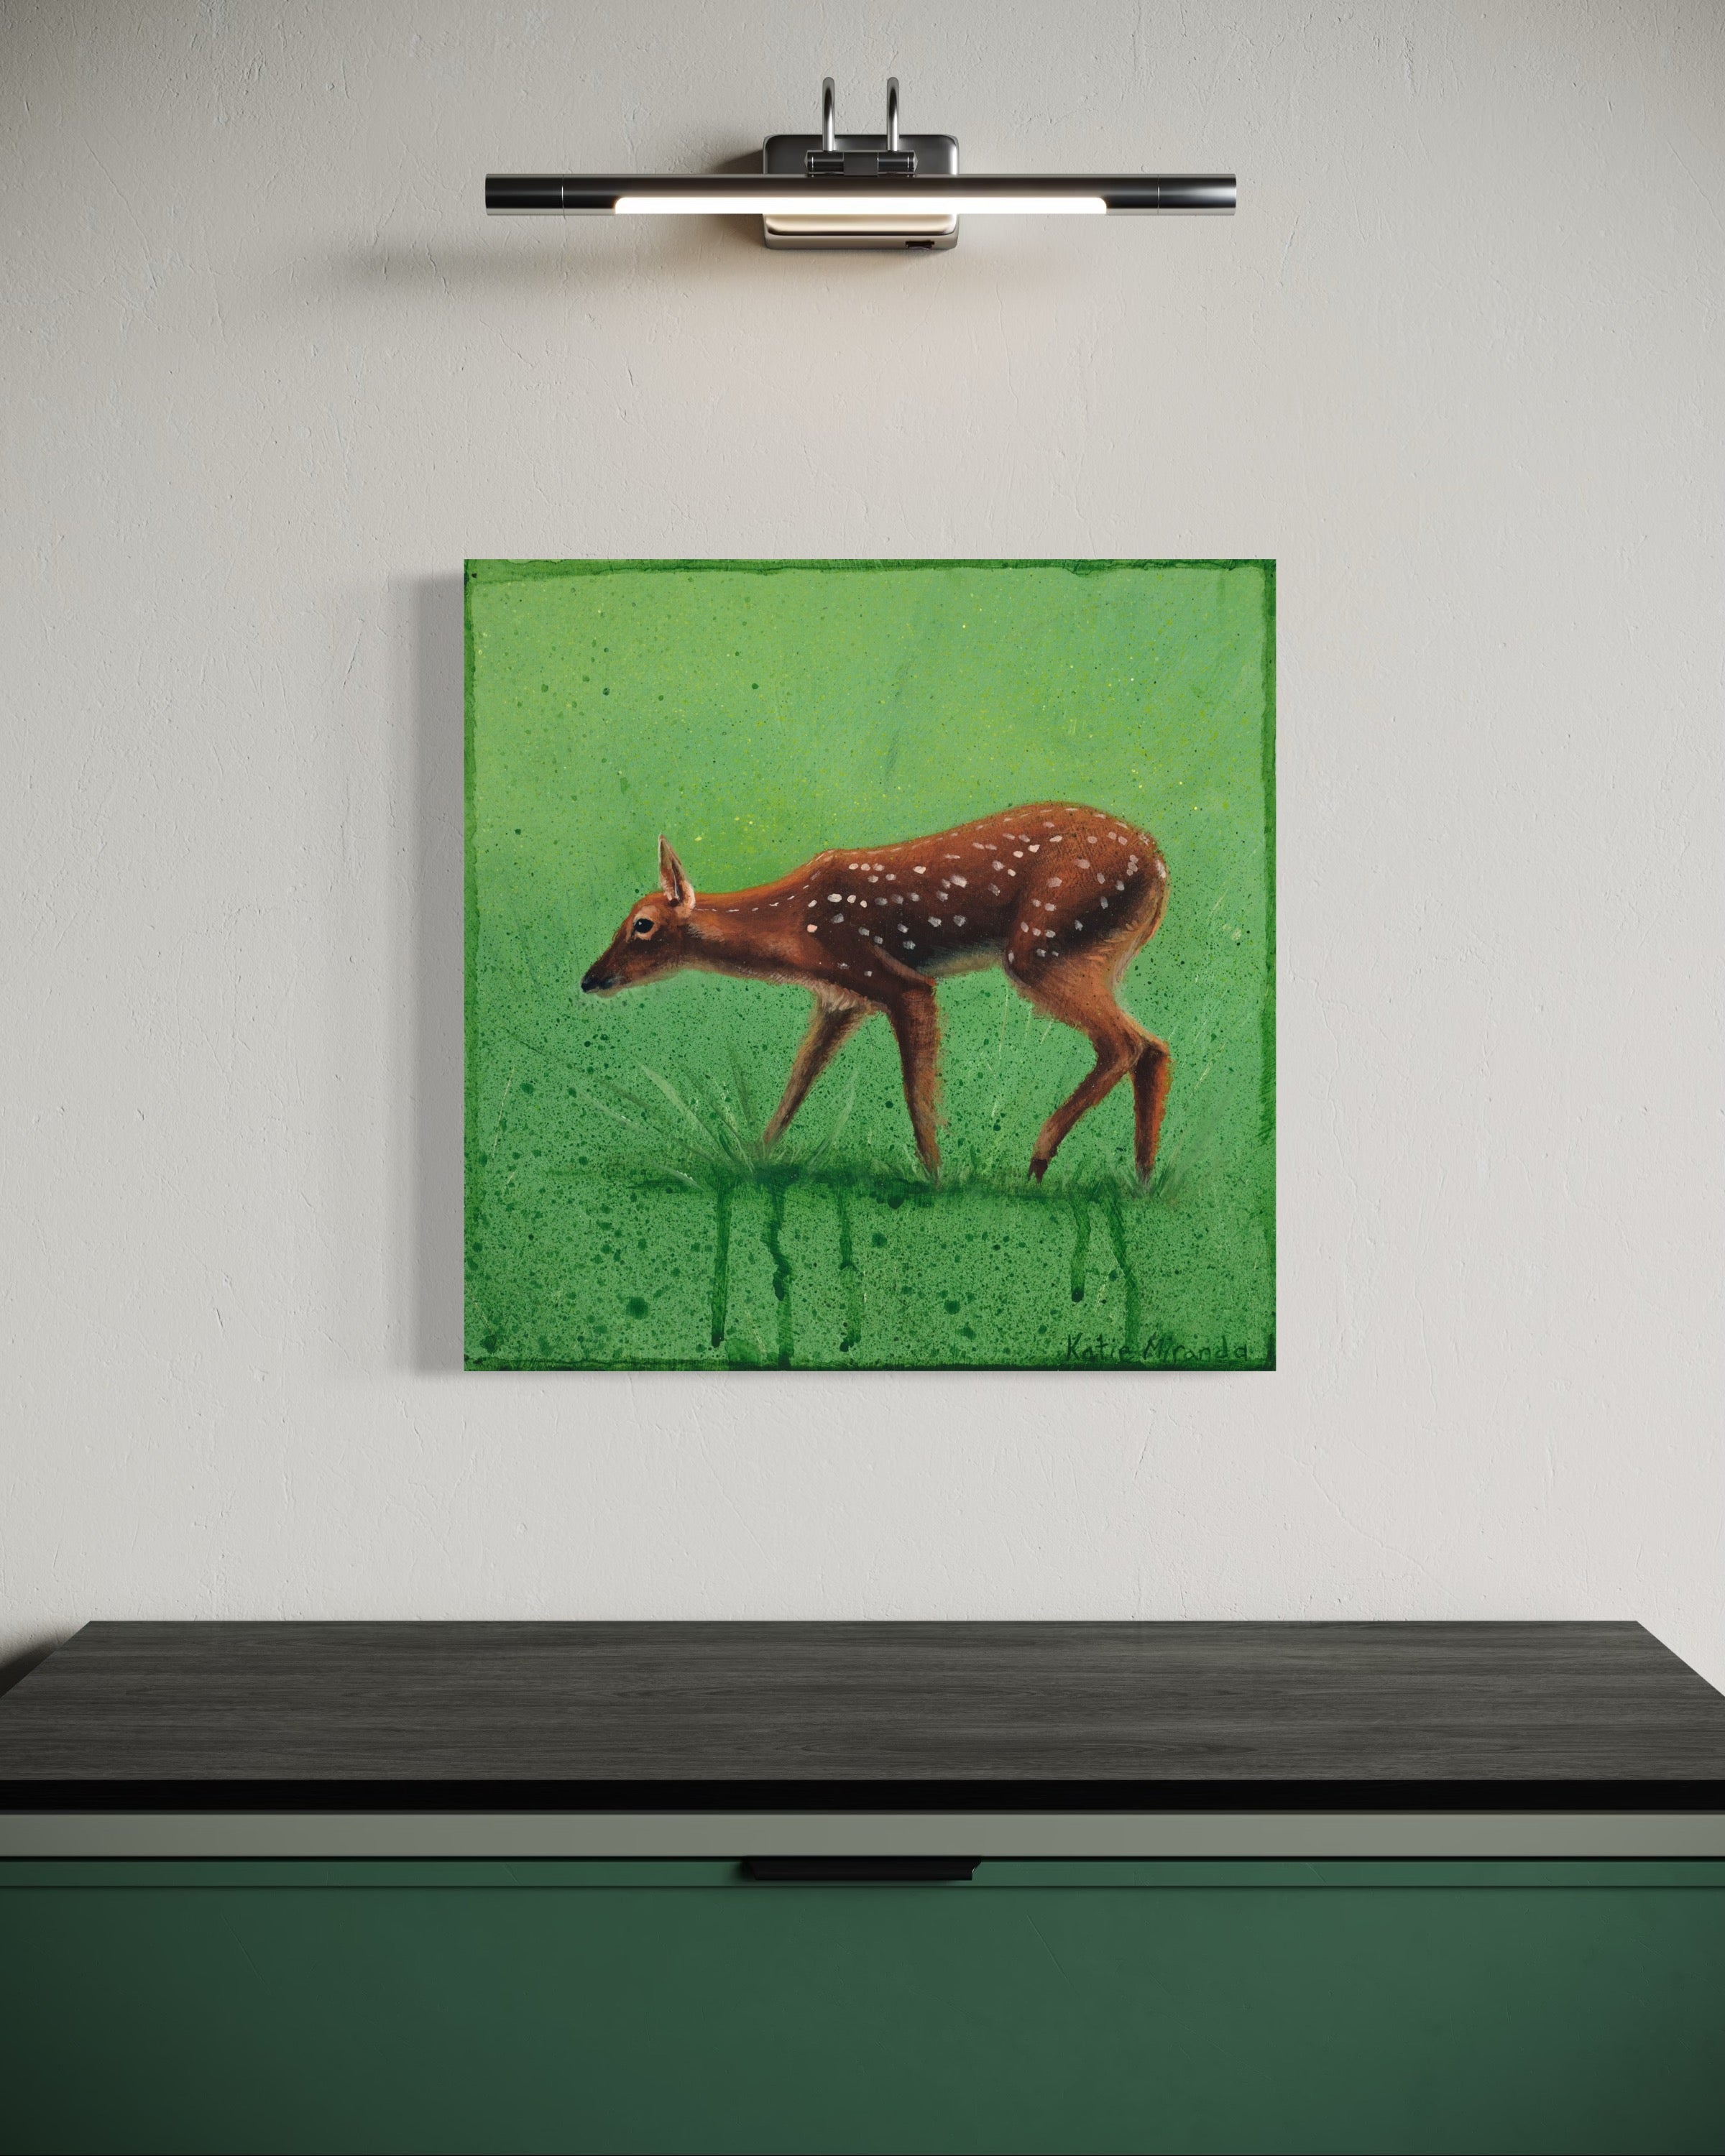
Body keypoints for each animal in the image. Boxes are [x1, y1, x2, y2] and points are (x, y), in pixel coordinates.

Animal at [580, 804, 1172, 1183]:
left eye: (642, 925)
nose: (590, 979)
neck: (795, 927)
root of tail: (1159, 862)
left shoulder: (896, 980)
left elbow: (916, 1093)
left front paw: (935, 1178)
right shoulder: (839, 1001)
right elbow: (797, 1083)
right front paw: (758, 1157)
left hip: (1043, 945)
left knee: (1124, 1043)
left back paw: (1039, 1161)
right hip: (1097, 955)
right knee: (1154, 1046)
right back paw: (1141, 1177)